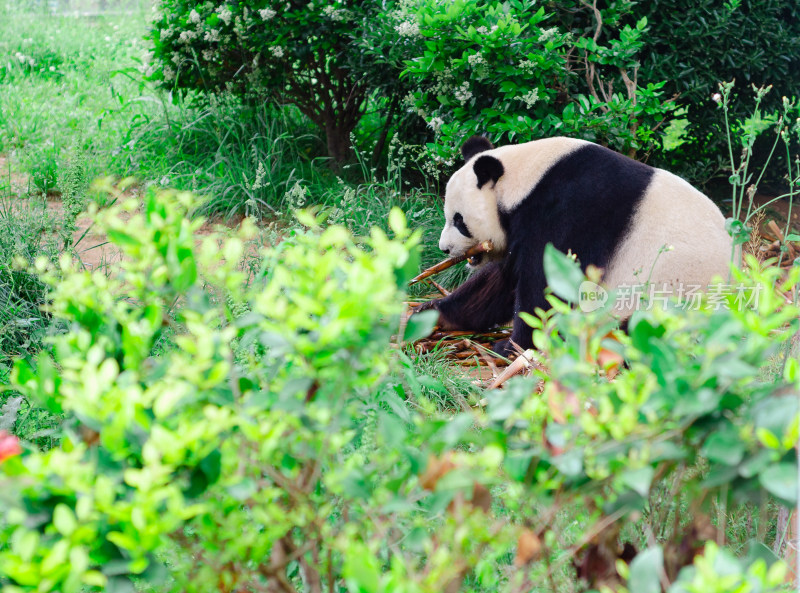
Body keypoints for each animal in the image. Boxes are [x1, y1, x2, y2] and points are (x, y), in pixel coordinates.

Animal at [418, 136, 736, 354]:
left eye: (459, 220)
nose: (445, 248)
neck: (524, 180)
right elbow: (500, 282)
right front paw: (434, 313)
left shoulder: (570, 211)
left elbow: (545, 284)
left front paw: (515, 347)